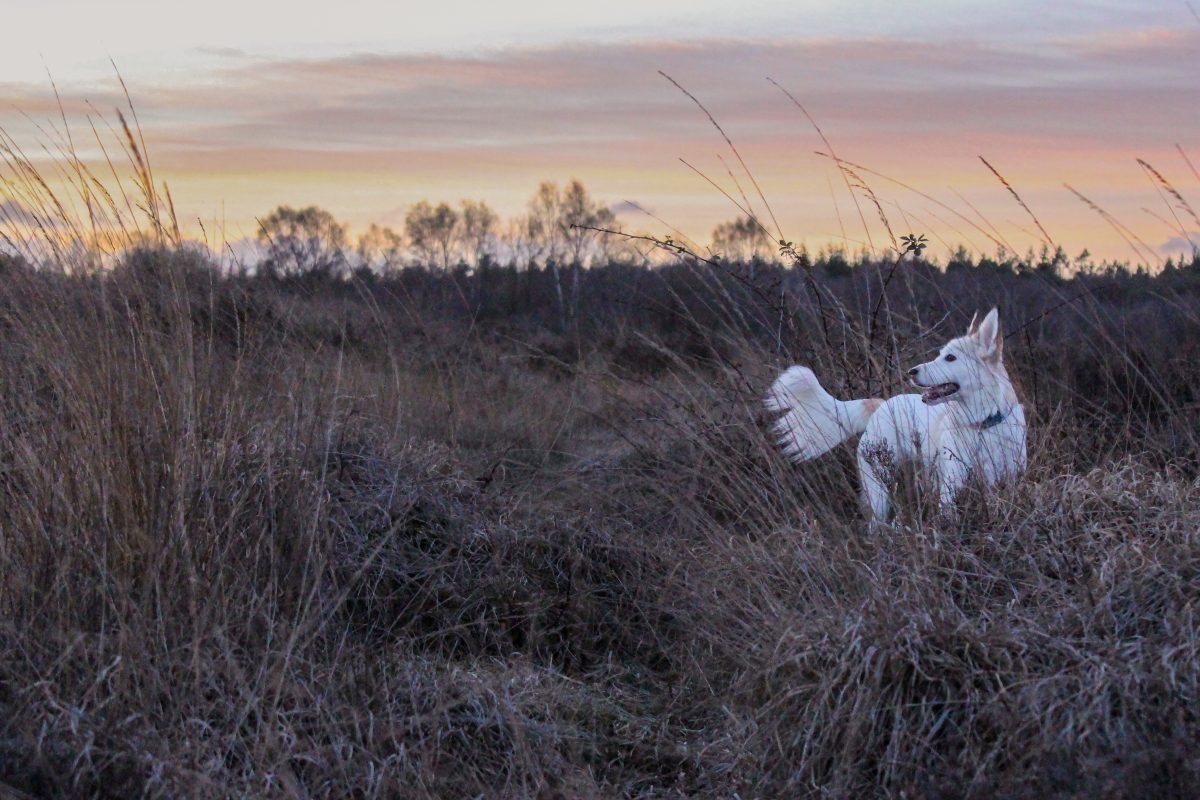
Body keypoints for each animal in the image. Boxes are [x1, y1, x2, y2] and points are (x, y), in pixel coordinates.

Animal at [763, 307, 1027, 520]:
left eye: (950, 358)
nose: (912, 371)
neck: (982, 424)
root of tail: (881, 404)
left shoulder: (1004, 484)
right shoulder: (951, 488)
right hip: (879, 490)